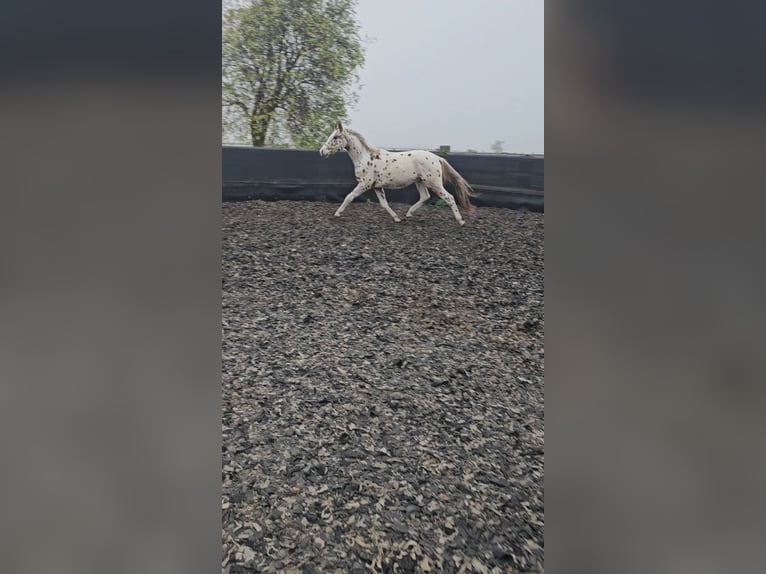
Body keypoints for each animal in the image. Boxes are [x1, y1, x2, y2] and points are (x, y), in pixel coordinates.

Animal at [316, 122, 474, 226]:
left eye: (335, 137)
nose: (322, 152)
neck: (365, 157)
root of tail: (437, 158)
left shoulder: (364, 184)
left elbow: (349, 197)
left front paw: (337, 213)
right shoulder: (377, 186)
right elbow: (384, 204)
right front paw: (397, 218)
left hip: (434, 183)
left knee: (449, 197)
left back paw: (461, 221)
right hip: (420, 181)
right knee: (425, 197)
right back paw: (408, 214)